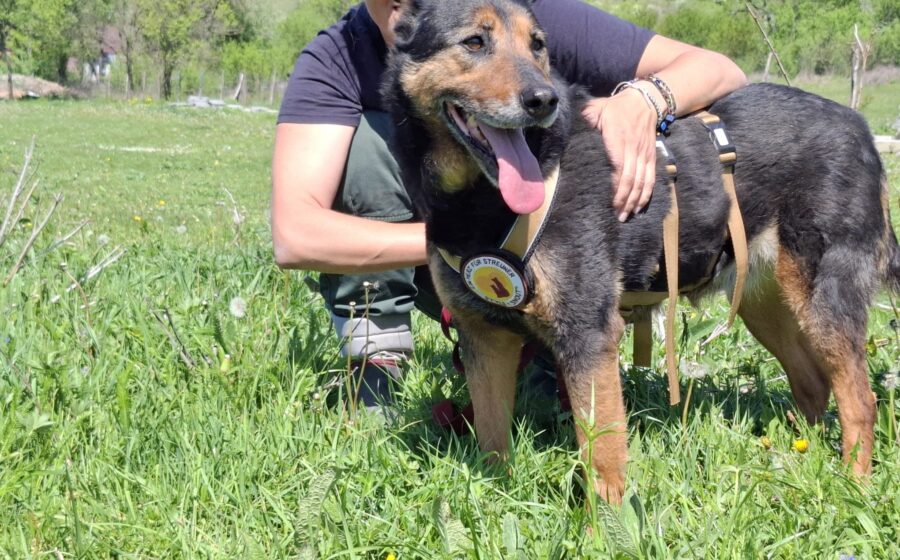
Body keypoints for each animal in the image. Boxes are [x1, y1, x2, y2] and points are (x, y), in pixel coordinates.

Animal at [382, 0, 898, 503]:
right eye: (474, 42)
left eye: (537, 46)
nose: (543, 100)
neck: (478, 201)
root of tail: (860, 128)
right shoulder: (484, 338)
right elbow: (492, 442)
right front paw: (494, 498)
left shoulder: (588, 335)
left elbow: (604, 455)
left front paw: (607, 525)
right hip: (765, 302)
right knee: (812, 382)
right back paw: (798, 461)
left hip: (823, 299)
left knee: (860, 399)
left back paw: (852, 487)